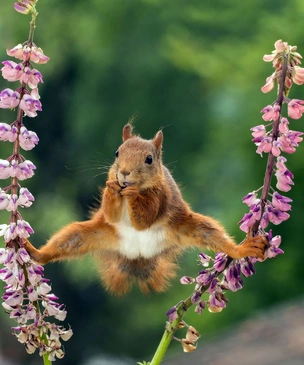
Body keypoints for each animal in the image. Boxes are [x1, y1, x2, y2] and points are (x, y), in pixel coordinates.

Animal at [23, 123, 268, 294]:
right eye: (117, 153)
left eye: (149, 159)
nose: (124, 173)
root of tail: (138, 255)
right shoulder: (110, 212)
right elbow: (111, 214)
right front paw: (112, 188)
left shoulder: (160, 197)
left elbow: (145, 219)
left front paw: (132, 195)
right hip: (89, 234)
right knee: (63, 243)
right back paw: (34, 251)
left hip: (190, 227)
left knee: (215, 236)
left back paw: (243, 249)